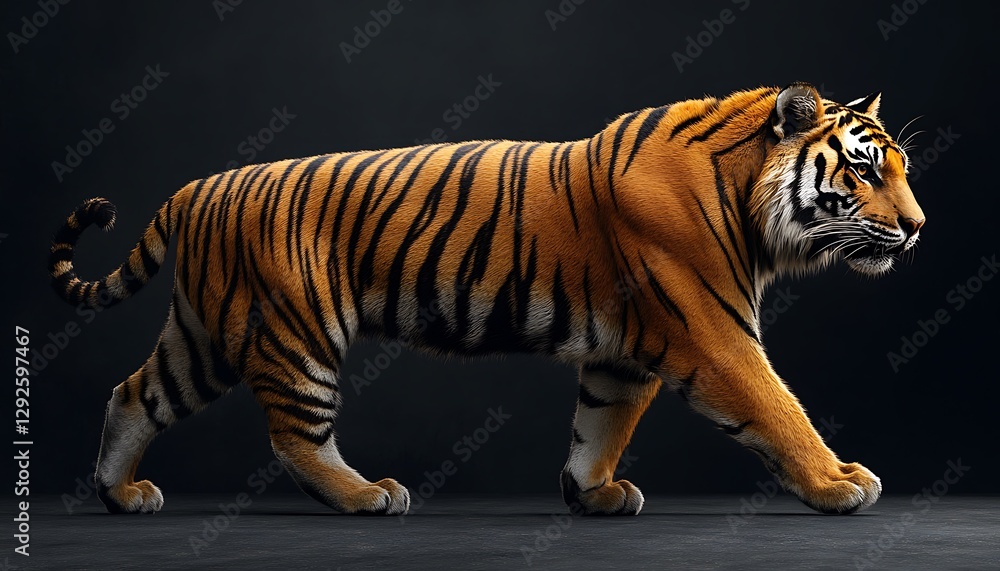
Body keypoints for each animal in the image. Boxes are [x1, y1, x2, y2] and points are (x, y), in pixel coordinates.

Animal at [48, 82, 924, 516]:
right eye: (864, 170)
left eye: (904, 168)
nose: (919, 228)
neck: (749, 197)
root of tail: (198, 187)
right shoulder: (713, 331)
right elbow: (778, 407)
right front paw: (838, 481)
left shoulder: (623, 354)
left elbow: (600, 424)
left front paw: (593, 492)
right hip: (295, 330)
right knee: (293, 434)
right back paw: (367, 496)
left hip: (204, 331)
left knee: (132, 394)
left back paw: (120, 494)